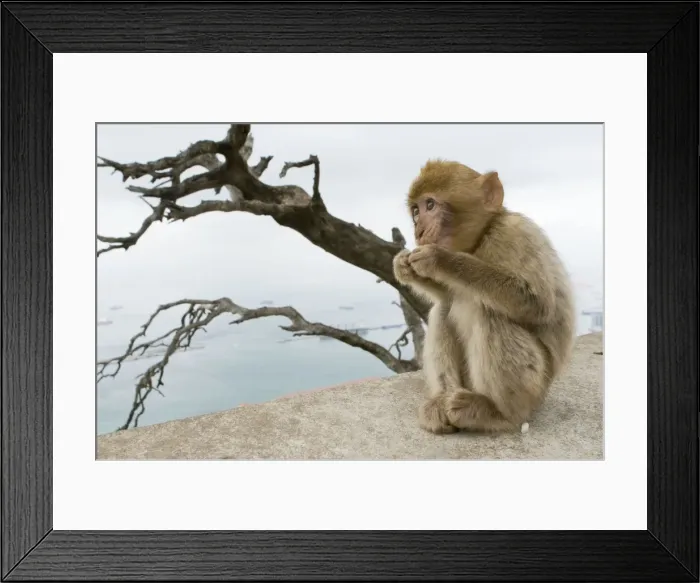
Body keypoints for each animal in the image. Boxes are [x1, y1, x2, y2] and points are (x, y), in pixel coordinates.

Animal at [393, 159, 576, 434]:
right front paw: (404, 265)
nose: (419, 230)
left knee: (489, 313)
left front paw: (441, 259)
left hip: (536, 386)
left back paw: (497, 413)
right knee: (443, 309)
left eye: (430, 205)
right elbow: (447, 293)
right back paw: (442, 399)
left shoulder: (515, 234)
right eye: (415, 211)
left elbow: (538, 304)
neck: (482, 238)